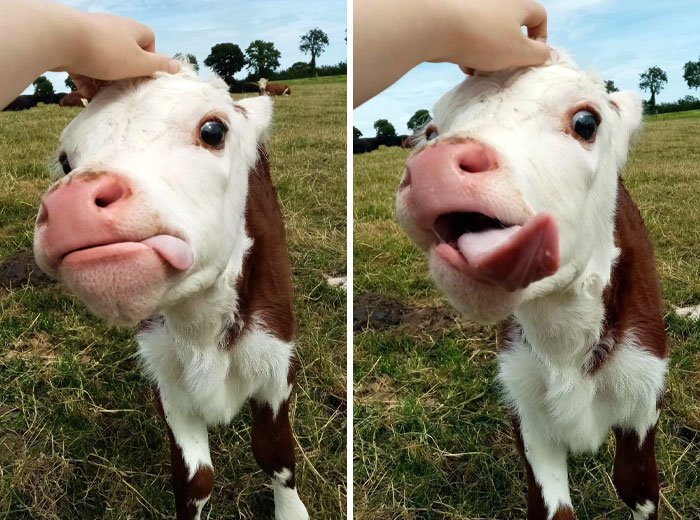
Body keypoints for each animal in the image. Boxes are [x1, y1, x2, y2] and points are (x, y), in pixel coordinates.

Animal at [33, 65, 309, 520]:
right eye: (65, 160)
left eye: (213, 130)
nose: (71, 206)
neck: (201, 326)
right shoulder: (166, 376)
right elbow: (195, 480)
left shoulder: (276, 361)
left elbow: (276, 454)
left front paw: (292, 510)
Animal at [396, 49, 667, 520]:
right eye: (431, 133)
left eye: (586, 122)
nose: (434, 170)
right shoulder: (526, 406)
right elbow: (551, 508)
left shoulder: (643, 390)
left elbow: (637, 486)